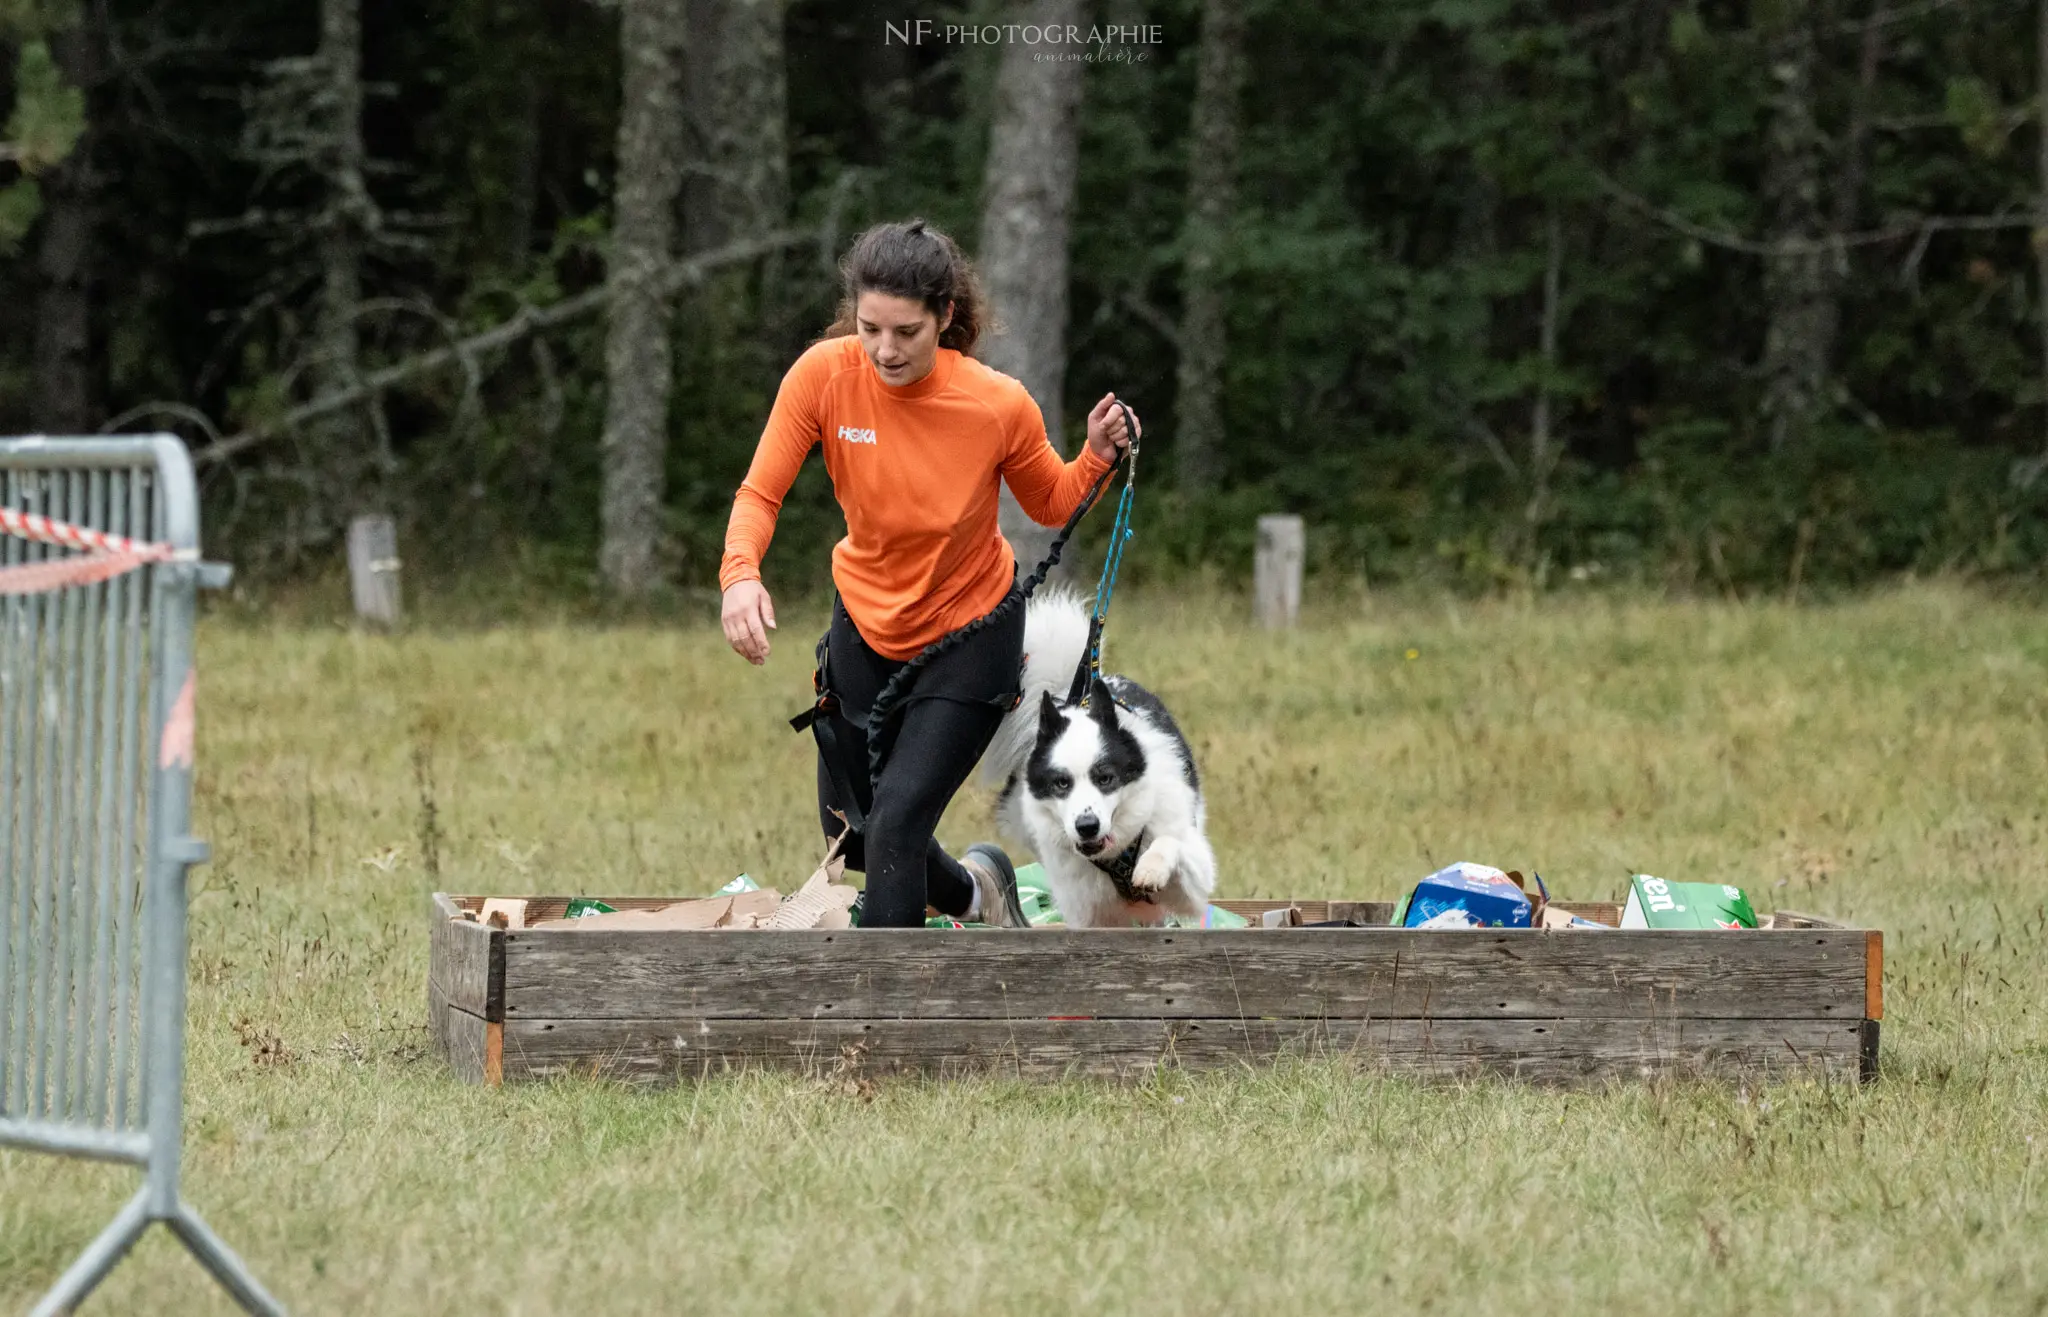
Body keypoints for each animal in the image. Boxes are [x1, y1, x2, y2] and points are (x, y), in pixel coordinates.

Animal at [978, 589, 1212, 925]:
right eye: (1061, 783)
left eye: (1106, 778)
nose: (1086, 826)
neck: (1116, 853)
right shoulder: (1085, 909)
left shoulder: (1194, 878)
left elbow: (1170, 841)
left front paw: (1151, 869)